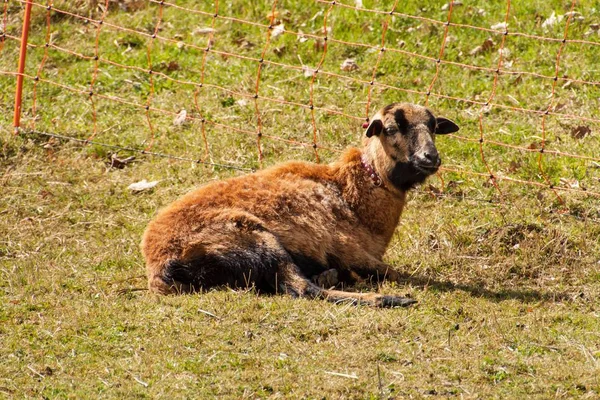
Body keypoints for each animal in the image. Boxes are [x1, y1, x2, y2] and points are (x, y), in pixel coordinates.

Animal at [142, 102, 460, 306]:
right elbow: (392, 272)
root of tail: (159, 266)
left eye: (433, 127)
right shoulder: (347, 248)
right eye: (391, 128)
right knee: (302, 289)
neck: (354, 190)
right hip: (253, 238)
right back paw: (390, 299)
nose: (431, 158)